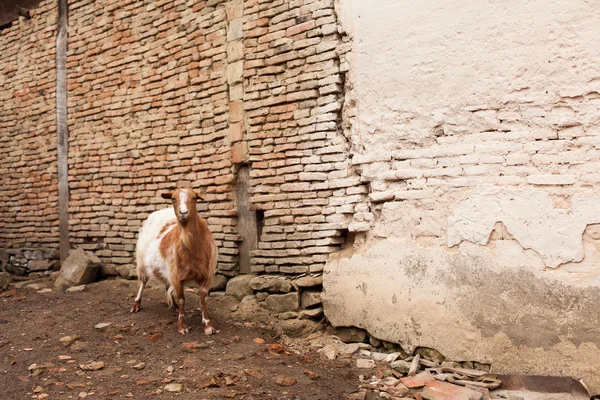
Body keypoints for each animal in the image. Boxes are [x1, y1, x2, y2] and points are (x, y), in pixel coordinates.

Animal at [131, 188, 218, 334]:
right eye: (173, 198)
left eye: (194, 198)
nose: (183, 212)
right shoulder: (178, 276)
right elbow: (182, 299)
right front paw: (182, 326)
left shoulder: (205, 274)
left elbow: (203, 298)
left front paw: (207, 325)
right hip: (143, 261)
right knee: (143, 282)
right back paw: (136, 304)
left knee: (167, 284)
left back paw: (174, 306)